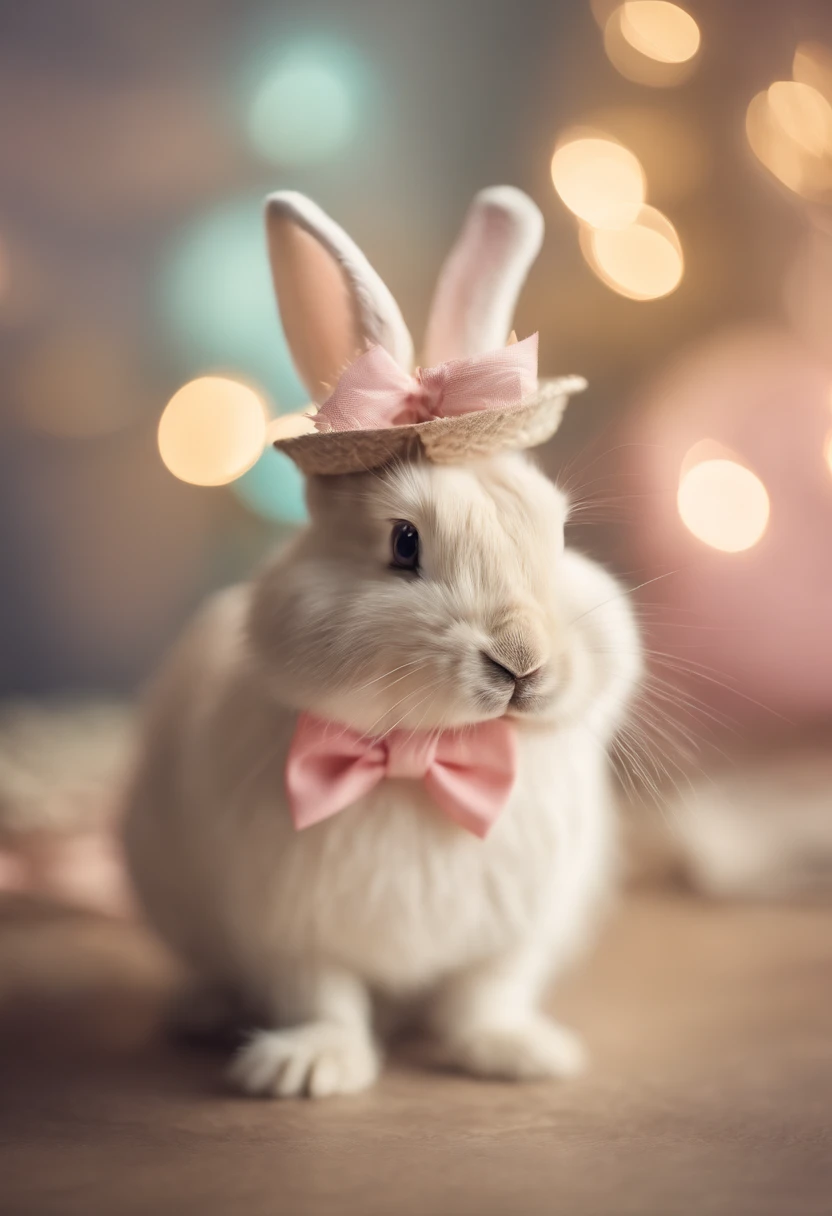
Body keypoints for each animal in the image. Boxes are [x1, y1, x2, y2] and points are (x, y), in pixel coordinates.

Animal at [125, 184, 642, 1099]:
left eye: (559, 533)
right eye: (404, 544)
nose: (524, 661)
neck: (422, 760)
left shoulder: (517, 933)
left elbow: (485, 995)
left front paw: (521, 1055)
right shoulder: (286, 930)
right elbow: (320, 997)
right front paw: (304, 1071)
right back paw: (203, 1013)